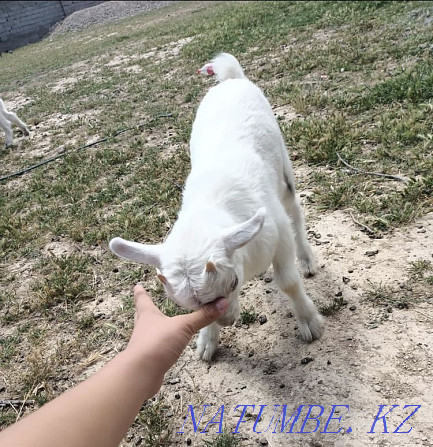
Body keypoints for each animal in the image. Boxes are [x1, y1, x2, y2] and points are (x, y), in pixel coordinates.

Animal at [109, 53, 322, 360]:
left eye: (233, 283)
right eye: (189, 305)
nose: (228, 321)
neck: (211, 207)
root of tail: (231, 79)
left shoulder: (278, 234)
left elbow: (288, 281)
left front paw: (309, 321)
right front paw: (207, 341)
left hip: (284, 169)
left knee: (294, 211)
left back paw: (306, 260)